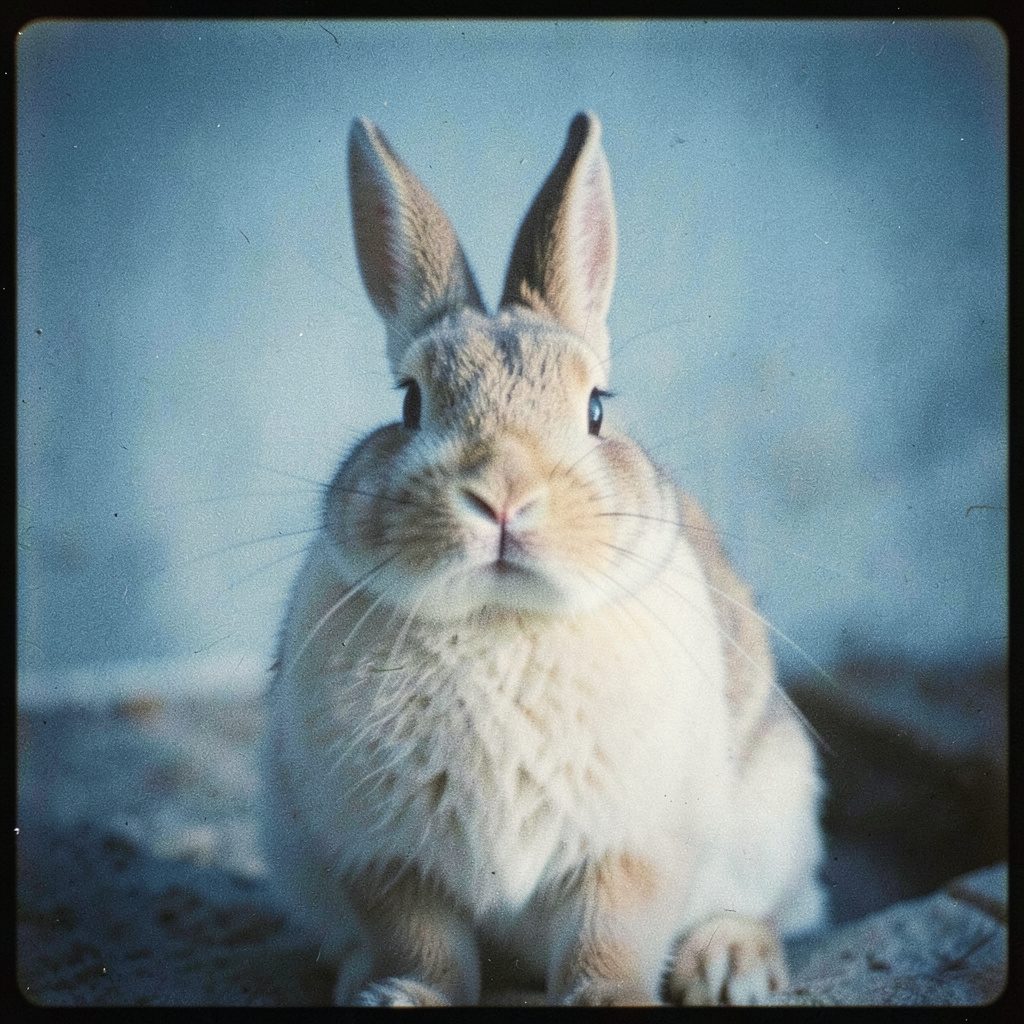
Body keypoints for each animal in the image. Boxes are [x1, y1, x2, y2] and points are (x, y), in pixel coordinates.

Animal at [261, 111, 826, 1007]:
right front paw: (402, 998)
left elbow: (609, 936)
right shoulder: (386, 857)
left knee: (768, 907)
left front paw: (611, 1002)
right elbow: (423, 941)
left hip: (776, 812)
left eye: (596, 408)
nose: (503, 495)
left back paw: (731, 967)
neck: (502, 619)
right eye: (409, 403)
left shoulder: (629, 851)